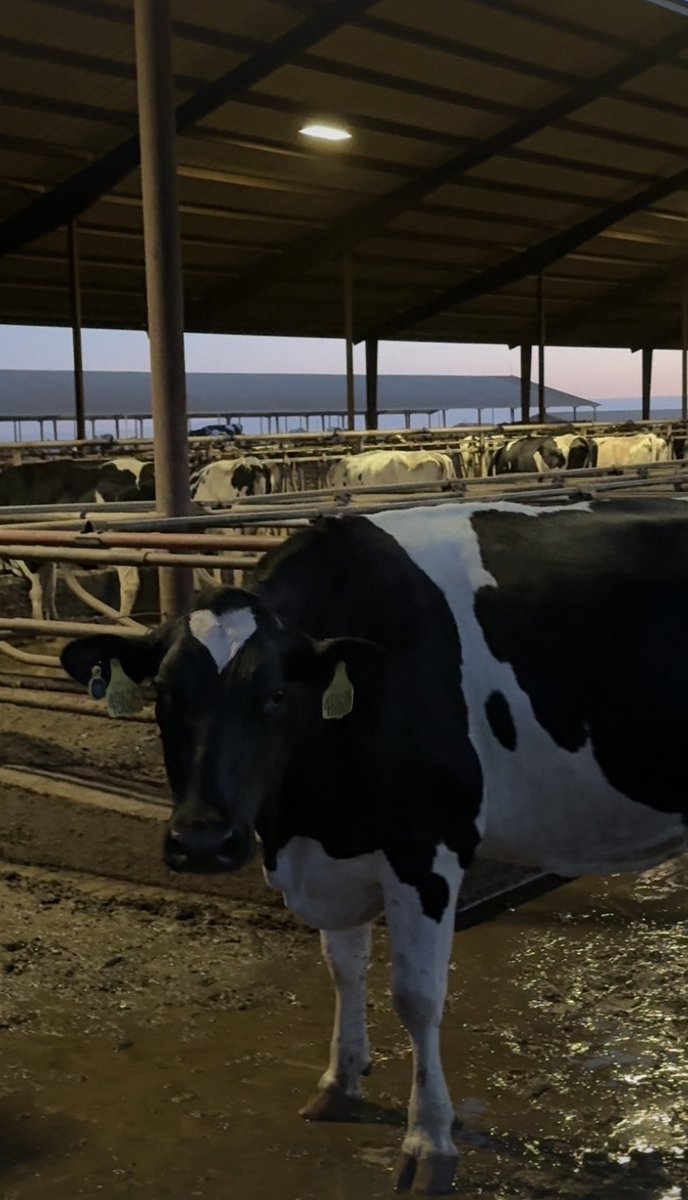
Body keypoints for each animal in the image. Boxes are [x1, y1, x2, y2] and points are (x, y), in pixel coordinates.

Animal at [59, 499, 688, 1195]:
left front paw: (429, 1141)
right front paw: (341, 1081)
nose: (202, 841)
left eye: (276, 694)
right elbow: (343, 968)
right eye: (164, 695)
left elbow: (417, 996)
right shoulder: (335, 848)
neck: (304, 822)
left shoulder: (428, 844)